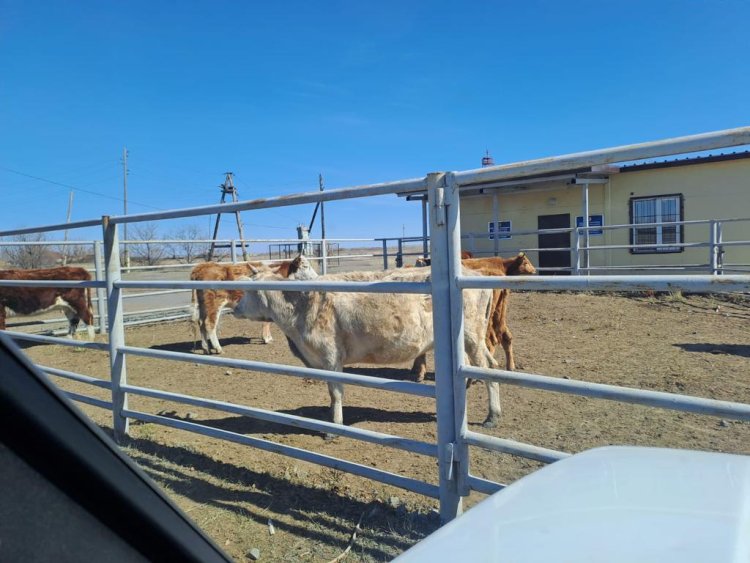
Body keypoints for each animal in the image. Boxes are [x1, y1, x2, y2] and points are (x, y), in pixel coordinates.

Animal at [408, 254, 536, 384]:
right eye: (526, 263)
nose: (534, 270)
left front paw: (419, 372)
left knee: (488, 343)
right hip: (498, 317)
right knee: (506, 337)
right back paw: (509, 367)